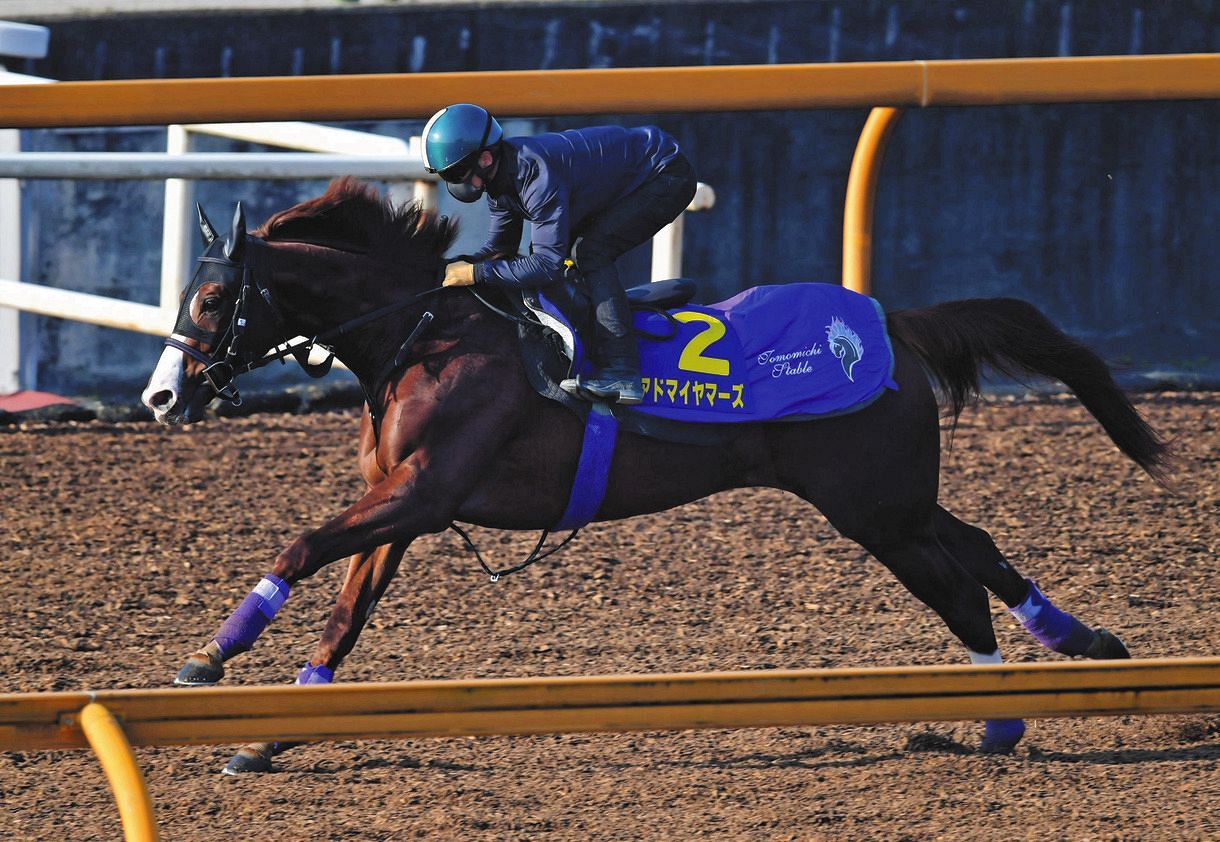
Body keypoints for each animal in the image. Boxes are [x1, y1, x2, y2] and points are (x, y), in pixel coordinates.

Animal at [142, 178, 1171, 776]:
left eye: (212, 297)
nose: (159, 396)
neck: (423, 333)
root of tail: (894, 323)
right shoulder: (402, 507)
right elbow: (345, 615)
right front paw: (268, 731)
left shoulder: (424, 493)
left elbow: (301, 545)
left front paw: (206, 663)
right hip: (893, 498)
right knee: (980, 547)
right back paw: (1082, 645)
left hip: (873, 506)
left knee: (957, 586)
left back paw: (1000, 720)